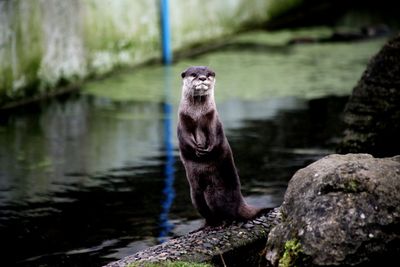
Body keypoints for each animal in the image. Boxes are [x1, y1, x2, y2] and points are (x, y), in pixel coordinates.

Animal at [178, 66, 266, 227]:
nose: (202, 78)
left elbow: (215, 136)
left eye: (208, 74)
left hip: (215, 193)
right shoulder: (183, 121)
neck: (198, 115)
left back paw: (224, 222)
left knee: (230, 213)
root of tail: (240, 201)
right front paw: (197, 149)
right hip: (195, 196)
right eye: (193, 74)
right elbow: (186, 139)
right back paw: (205, 226)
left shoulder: (213, 119)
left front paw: (207, 149)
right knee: (207, 214)